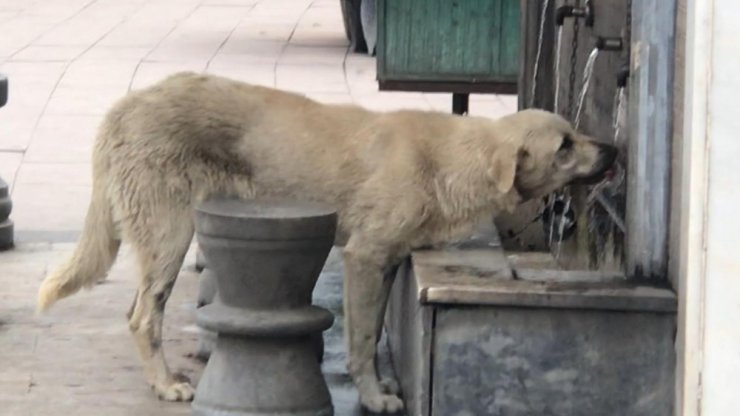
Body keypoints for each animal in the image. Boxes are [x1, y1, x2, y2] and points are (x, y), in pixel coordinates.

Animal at [36, 71, 612, 412]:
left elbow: (369, 334)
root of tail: (125, 105)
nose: (613, 150)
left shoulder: (387, 262)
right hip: (170, 234)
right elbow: (361, 341)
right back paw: (164, 383)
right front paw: (373, 397)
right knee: (142, 316)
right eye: (564, 146)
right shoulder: (365, 258)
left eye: (576, 135)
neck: (449, 160)